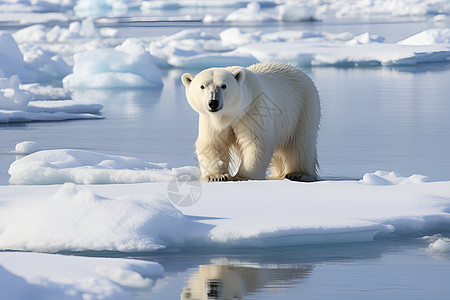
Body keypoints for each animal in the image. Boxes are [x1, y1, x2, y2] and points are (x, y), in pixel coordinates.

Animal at [182, 62, 320, 182]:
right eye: (202, 86)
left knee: (301, 143)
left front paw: (242, 176)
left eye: (224, 85)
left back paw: (298, 174)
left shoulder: (253, 109)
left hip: (304, 107)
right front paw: (216, 176)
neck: (230, 114)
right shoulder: (210, 119)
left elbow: (256, 141)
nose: (213, 102)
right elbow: (212, 143)